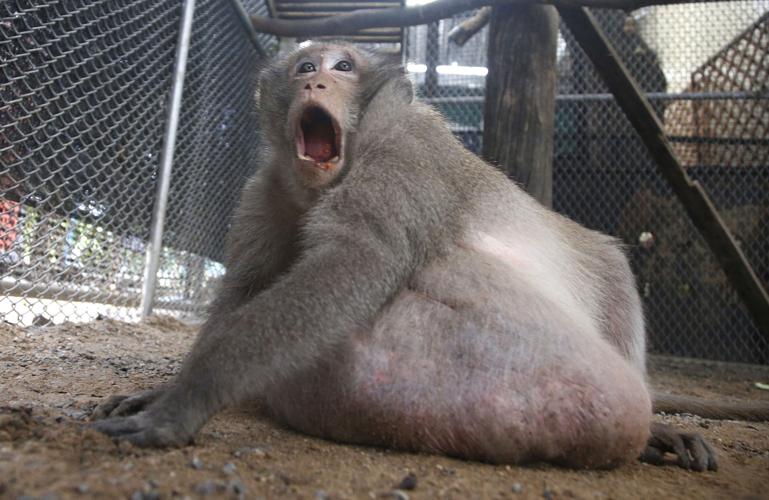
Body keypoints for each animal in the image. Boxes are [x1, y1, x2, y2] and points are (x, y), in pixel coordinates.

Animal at [91, 42, 763, 471]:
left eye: (343, 66)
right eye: (306, 65)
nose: (314, 82)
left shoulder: (403, 155)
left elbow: (358, 260)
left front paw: (186, 400)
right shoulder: (269, 191)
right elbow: (247, 287)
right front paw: (163, 390)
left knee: (609, 265)